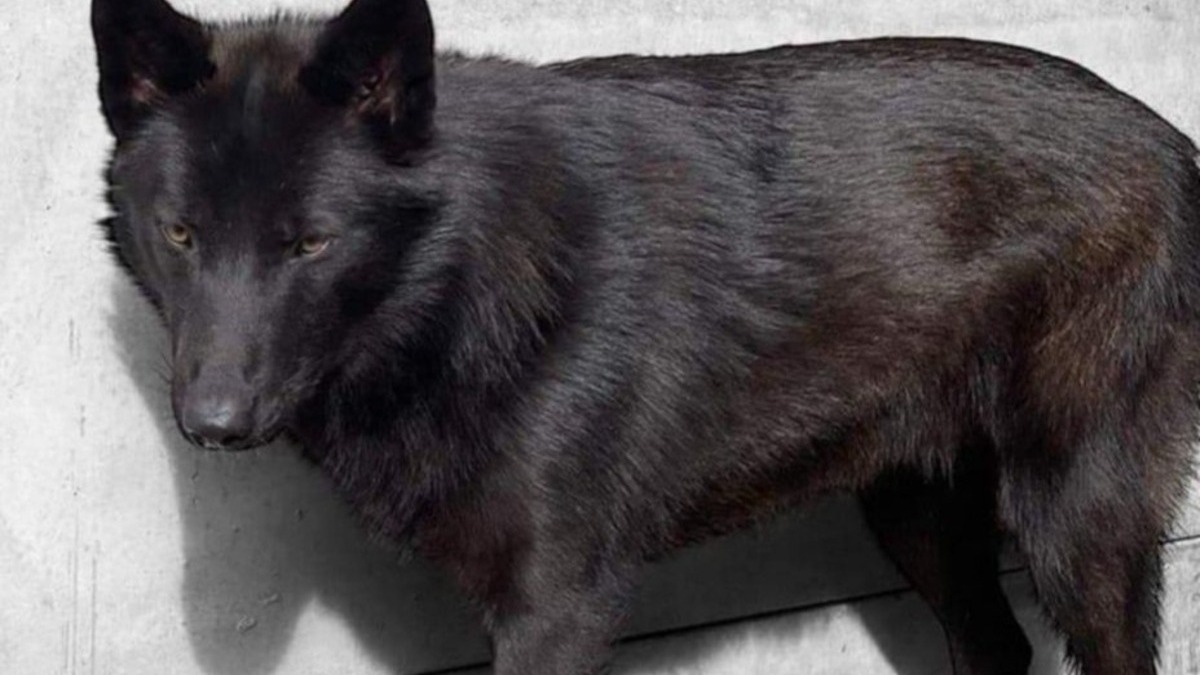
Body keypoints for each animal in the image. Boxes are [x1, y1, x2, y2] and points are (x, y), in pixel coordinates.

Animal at [92, 0, 1200, 672]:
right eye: (181, 234)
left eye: (311, 242)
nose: (212, 424)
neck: (456, 285)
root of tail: (1172, 142)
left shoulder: (558, 605)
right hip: (915, 508)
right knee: (994, 646)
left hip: (1076, 521)